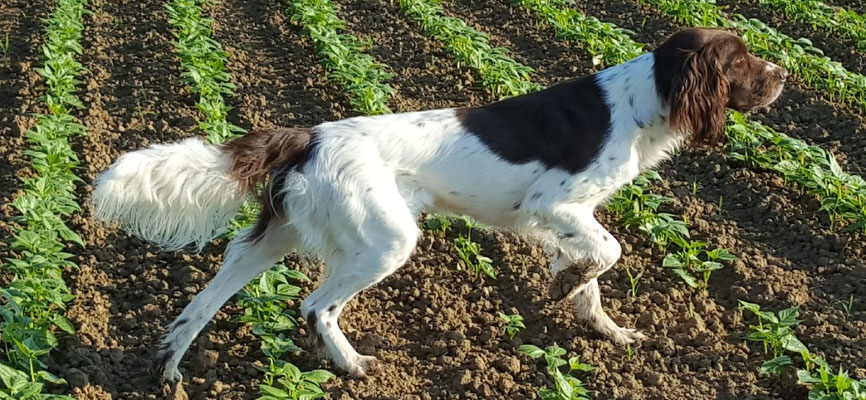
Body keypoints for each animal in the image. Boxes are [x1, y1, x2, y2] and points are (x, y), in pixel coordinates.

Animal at [91, 28, 786, 383]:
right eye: (741, 58)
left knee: (202, 303)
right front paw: (568, 287)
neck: (641, 101)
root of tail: (305, 135)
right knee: (315, 306)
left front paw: (605, 328)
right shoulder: (554, 203)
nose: (783, 75)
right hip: (386, 240)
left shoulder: (565, 217)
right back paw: (353, 366)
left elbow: (594, 274)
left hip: (272, 236)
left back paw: (168, 372)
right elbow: (609, 252)